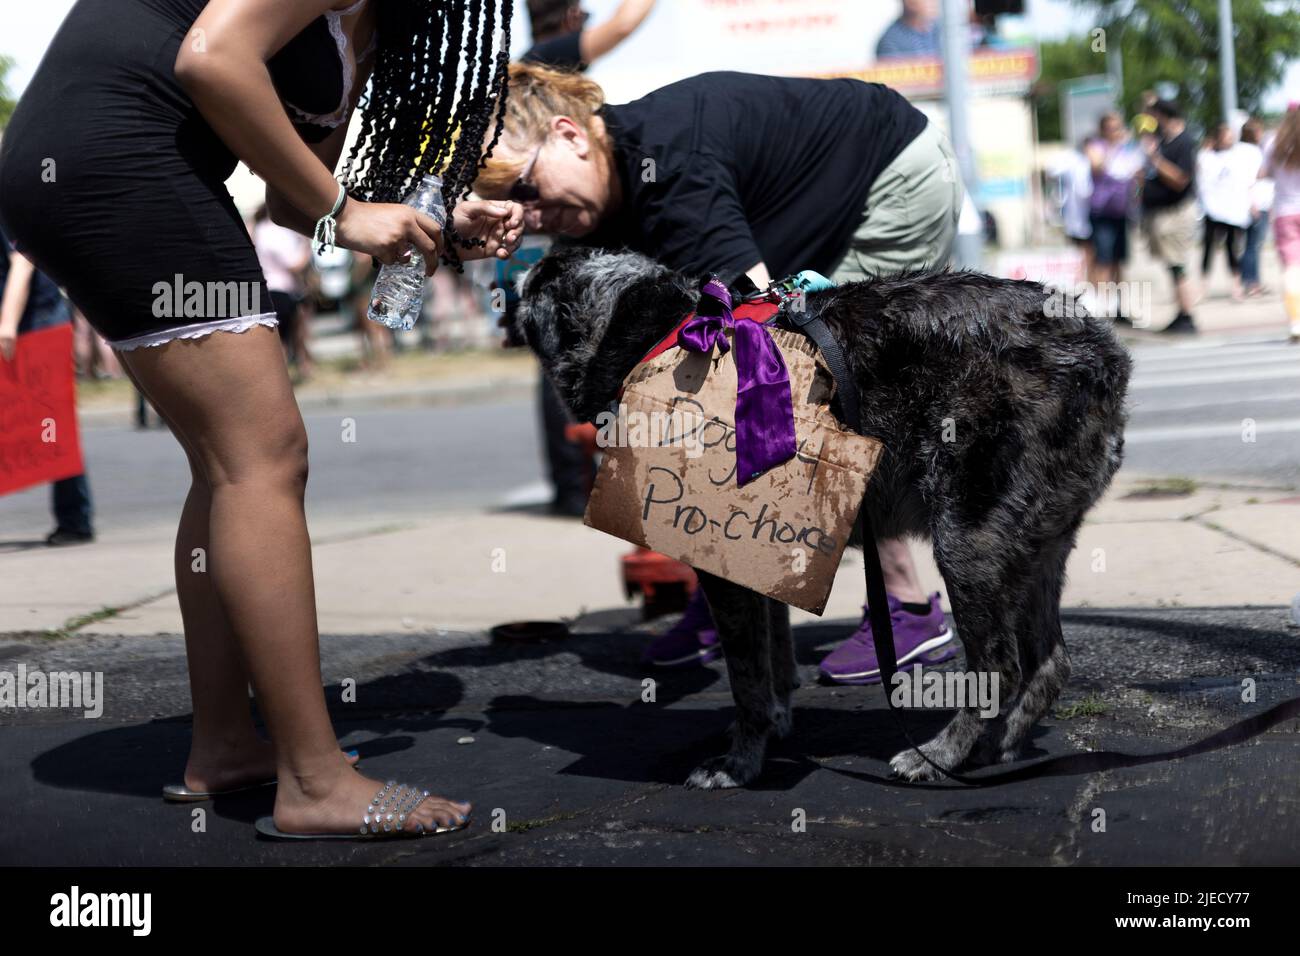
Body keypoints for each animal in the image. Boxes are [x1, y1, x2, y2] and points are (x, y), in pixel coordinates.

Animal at [512, 244, 1133, 785]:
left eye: (540, 279)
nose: (520, 265)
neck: (658, 331)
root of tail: (1102, 354)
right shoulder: (754, 557)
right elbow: (774, 656)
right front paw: (775, 724)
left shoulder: (719, 565)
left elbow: (746, 679)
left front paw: (739, 762)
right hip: (1035, 544)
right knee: (1050, 665)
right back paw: (997, 746)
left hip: (969, 543)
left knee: (1000, 668)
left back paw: (943, 755)